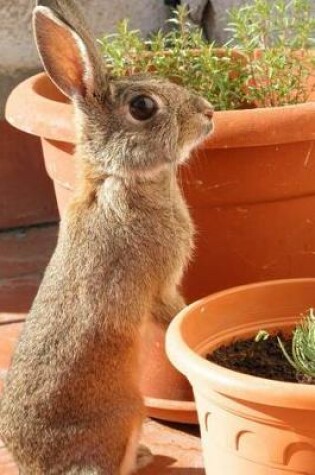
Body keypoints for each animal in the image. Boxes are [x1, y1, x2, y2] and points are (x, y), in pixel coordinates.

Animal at [0, 0, 215, 475]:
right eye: (143, 106)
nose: (208, 111)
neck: (120, 177)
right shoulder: (159, 285)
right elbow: (173, 314)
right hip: (126, 416)